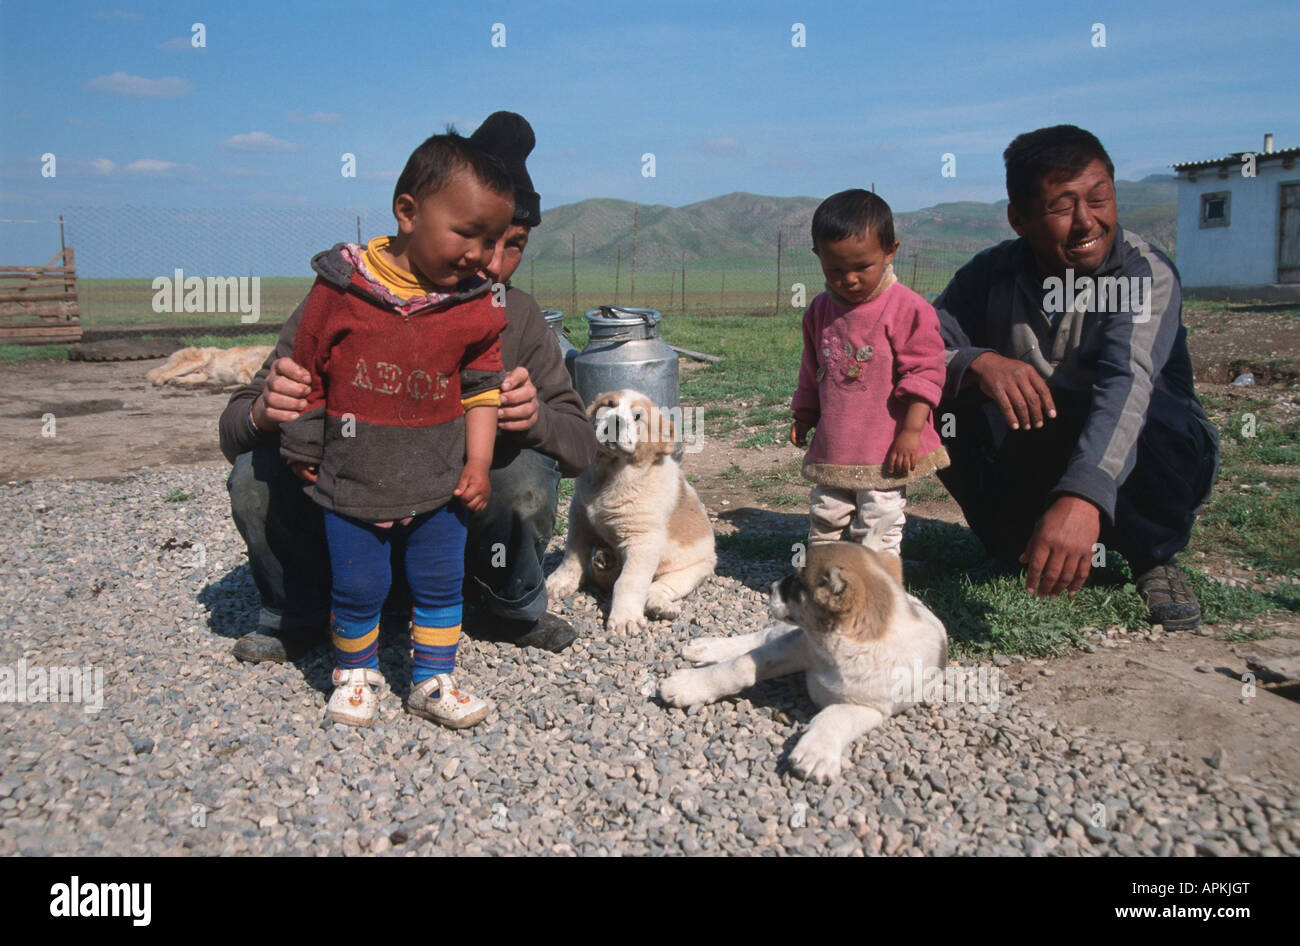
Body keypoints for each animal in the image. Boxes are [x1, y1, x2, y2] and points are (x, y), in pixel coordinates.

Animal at [543, 384, 717, 636]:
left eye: (637, 417)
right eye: (609, 405)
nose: (614, 421)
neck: (611, 476)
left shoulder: (642, 540)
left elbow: (629, 581)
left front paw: (625, 619)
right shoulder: (580, 516)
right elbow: (572, 556)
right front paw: (559, 582)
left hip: (691, 571)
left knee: (657, 588)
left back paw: (660, 607)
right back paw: (605, 559)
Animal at [660, 535, 946, 784]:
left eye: (796, 582)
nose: (770, 587)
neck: (836, 650)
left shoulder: (871, 707)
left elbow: (833, 716)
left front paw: (817, 752)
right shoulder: (797, 645)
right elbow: (740, 665)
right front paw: (688, 686)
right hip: (786, 631)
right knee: (757, 638)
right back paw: (706, 648)